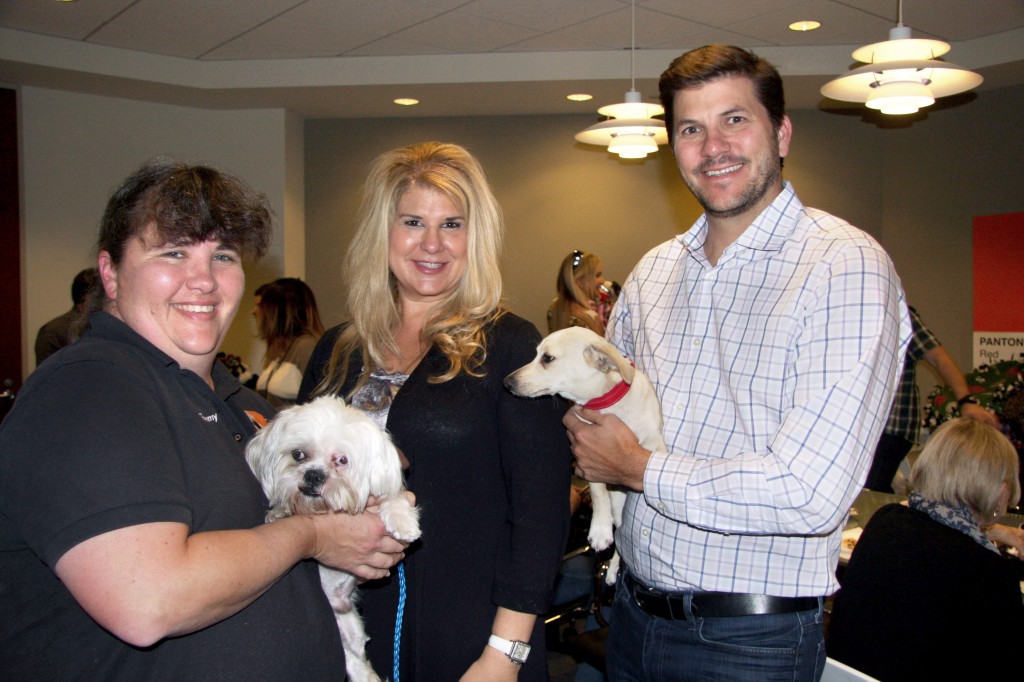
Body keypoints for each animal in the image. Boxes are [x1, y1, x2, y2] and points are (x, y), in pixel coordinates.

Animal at [244, 393, 419, 679]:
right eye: (298, 454)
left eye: (342, 460)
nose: (313, 475)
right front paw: (279, 513)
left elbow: (393, 497)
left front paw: (403, 522)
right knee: (348, 658)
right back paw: (362, 674)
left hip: (352, 628)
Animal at [501, 327, 663, 581]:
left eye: (547, 358)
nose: (506, 382)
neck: (609, 407)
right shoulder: (587, 453)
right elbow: (598, 492)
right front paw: (600, 528)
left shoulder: (655, 444)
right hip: (618, 506)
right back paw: (613, 566)